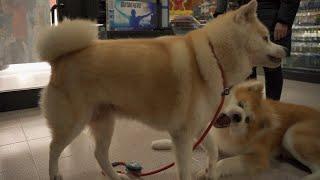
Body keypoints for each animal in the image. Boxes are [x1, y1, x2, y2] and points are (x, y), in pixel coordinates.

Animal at [37, 0, 284, 179]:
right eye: (266, 37)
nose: (283, 49)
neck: (215, 57)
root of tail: (60, 58)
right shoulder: (183, 135)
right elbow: (185, 170)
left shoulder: (200, 127)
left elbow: (213, 150)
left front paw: (211, 171)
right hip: (73, 123)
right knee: (53, 148)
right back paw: (55, 174)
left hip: (105, 121)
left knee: (99, 155)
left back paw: (116, 176)